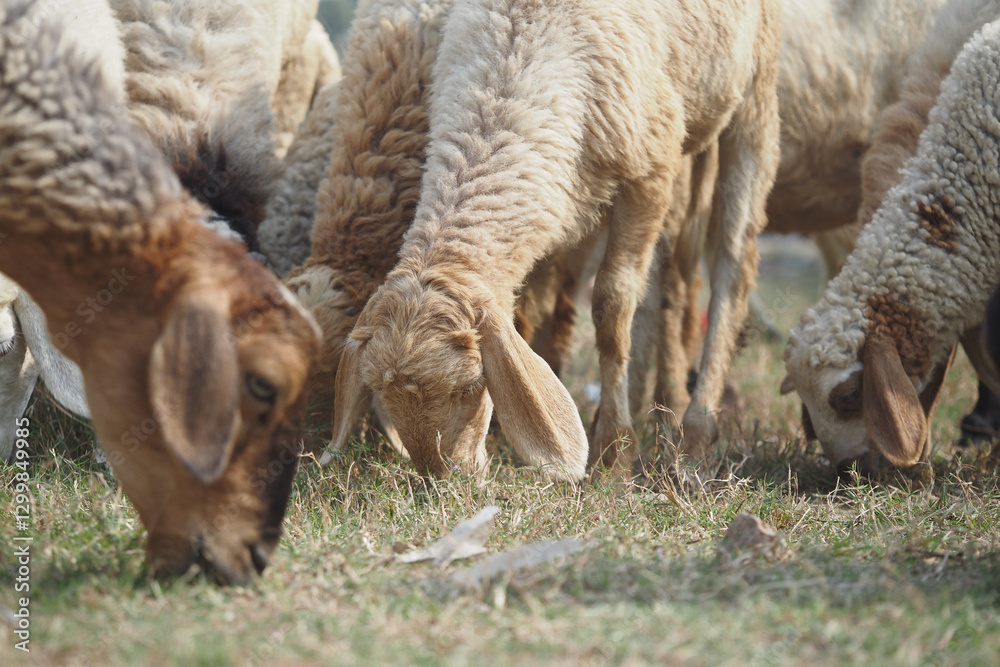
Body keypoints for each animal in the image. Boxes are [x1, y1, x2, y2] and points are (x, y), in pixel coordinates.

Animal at [328, 0, 782, 479]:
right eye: (380, 392)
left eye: (470, 386)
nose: (446, 477)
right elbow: (530, 307)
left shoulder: (653, 166)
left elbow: (612, 304)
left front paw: (613, 451)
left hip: (755, 93)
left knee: (733, 262)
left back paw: (695, 432)